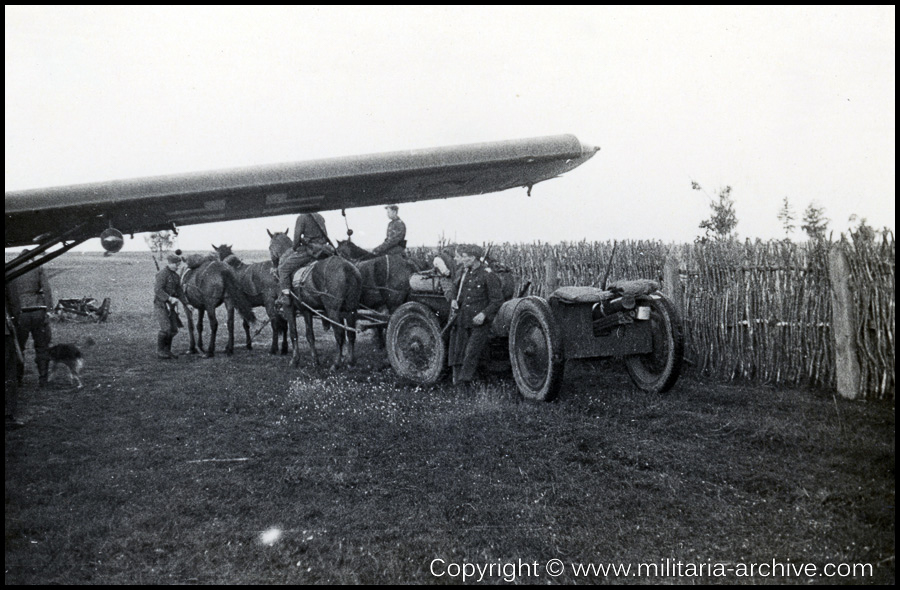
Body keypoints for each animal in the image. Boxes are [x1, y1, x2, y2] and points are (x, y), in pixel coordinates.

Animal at [268, 231, 362, 370]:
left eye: (269, 247)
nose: (274, 270)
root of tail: (347, 267)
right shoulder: (306, 310)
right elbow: (310, 335)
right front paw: (315, 360)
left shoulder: (289, 308)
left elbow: (293, 333)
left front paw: (295, 360)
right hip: (351, 309)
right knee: (351, 334)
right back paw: (350, 361)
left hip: (333, 311)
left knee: (339, 334)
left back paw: (336, 363)